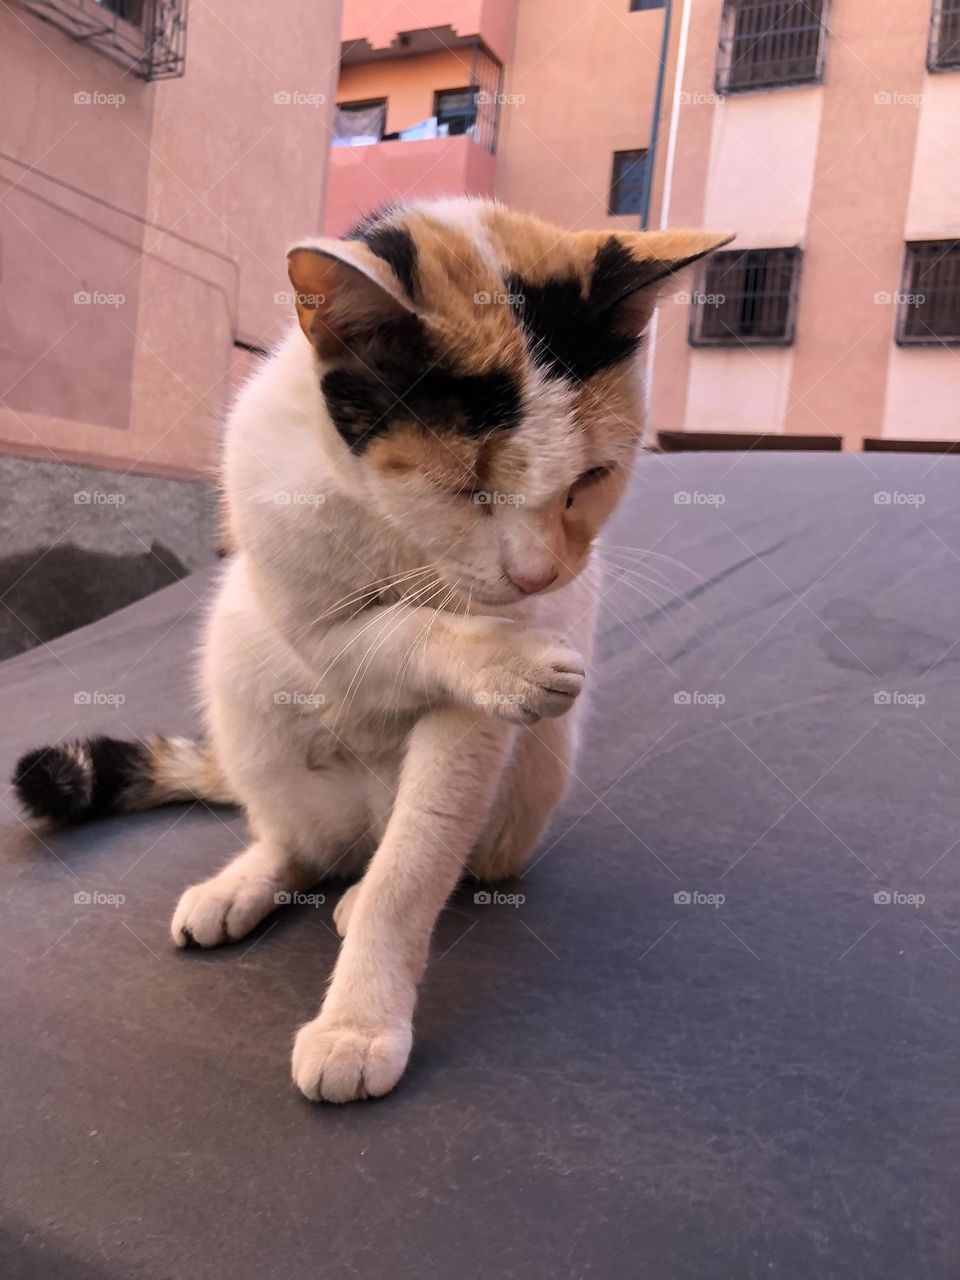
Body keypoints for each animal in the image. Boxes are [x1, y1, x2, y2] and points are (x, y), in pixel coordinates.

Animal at [11, 197, 732, 1100]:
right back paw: (243, 883)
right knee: (296, 845)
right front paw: (510, 658)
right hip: (239, 665)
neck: (392, 530)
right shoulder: (311, 613)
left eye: (590, 480)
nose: (537, 575)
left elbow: (411, 870)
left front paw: (359, 1021)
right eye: (468, 489)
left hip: (522, 790)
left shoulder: (472, 731)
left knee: (407, 859)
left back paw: (356, 898)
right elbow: (391, 630)